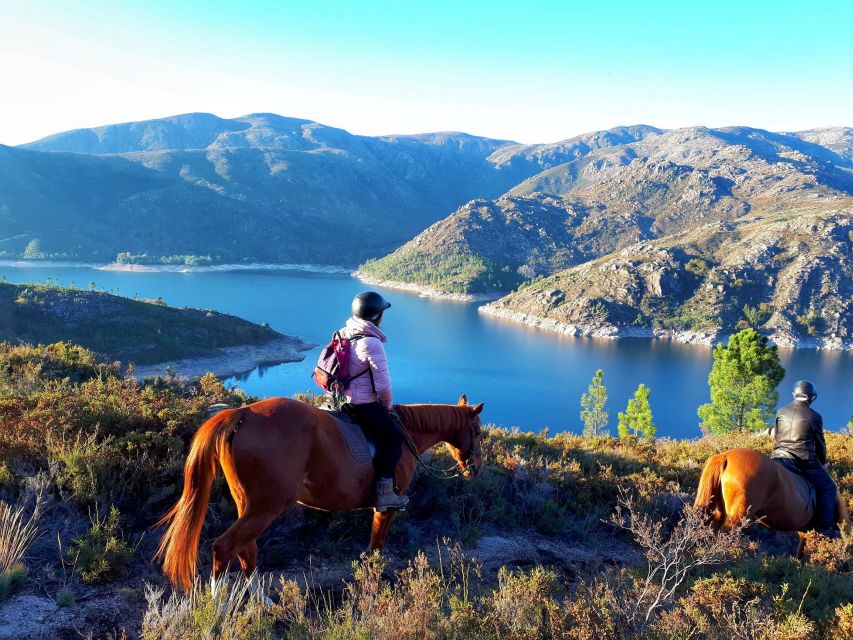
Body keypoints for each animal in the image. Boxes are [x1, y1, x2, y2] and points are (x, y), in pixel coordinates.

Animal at [156, 392, 482, 592]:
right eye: (477, 431)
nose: (476, 467)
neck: (406, 435)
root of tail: (242, 414)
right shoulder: (386, 507)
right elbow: (375, 547)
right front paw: (372, 581)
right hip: (265, 507)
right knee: (224, 547)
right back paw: (219, 608)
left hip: (248, 504)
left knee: (246, 548)